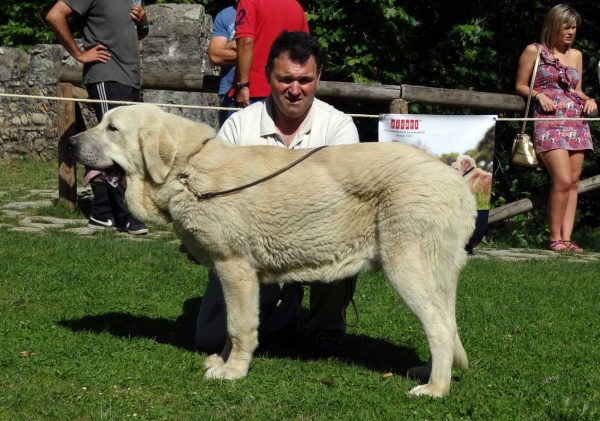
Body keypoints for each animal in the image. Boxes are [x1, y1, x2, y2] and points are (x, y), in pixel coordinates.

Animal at [68, 103, 476, 396]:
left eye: (112, 129)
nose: (70, 143)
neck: (185, 171)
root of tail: (456, 182)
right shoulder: (238, 276)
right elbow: (233, 327)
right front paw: (224, 362)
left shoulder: (234, 268)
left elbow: (238, 327)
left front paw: (233, 371)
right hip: (434, 275)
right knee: (447, 323)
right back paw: (429, 373)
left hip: (406, 267)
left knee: (439, 327)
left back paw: (435, 388)